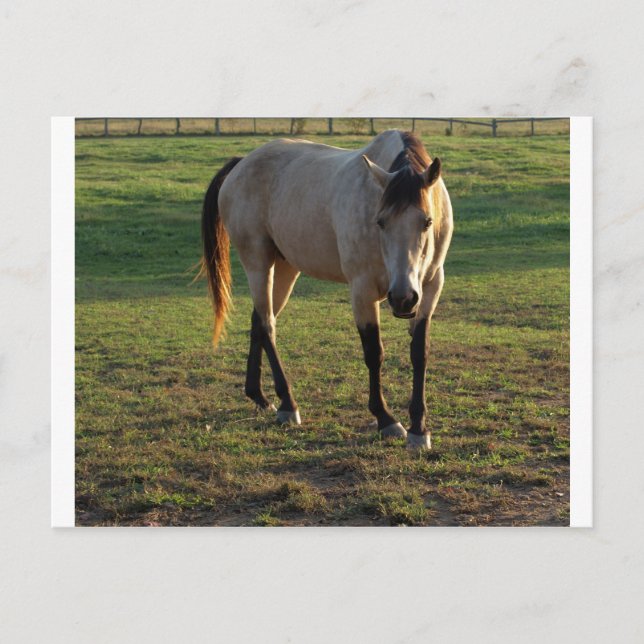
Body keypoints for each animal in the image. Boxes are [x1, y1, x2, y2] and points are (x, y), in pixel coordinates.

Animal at [200, 129, 453, 450]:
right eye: (381, 222)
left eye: (427, 221)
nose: (402, 298)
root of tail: (242, 163)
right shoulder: (362, 290)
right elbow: (374, 352)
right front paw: (386, 420)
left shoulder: (431, 286)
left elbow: (419, 353)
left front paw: (419, 429)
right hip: (258, 263)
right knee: (268, 325)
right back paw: (288, 405)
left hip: (286, 268)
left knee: (258, 320)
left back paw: (260, 397)